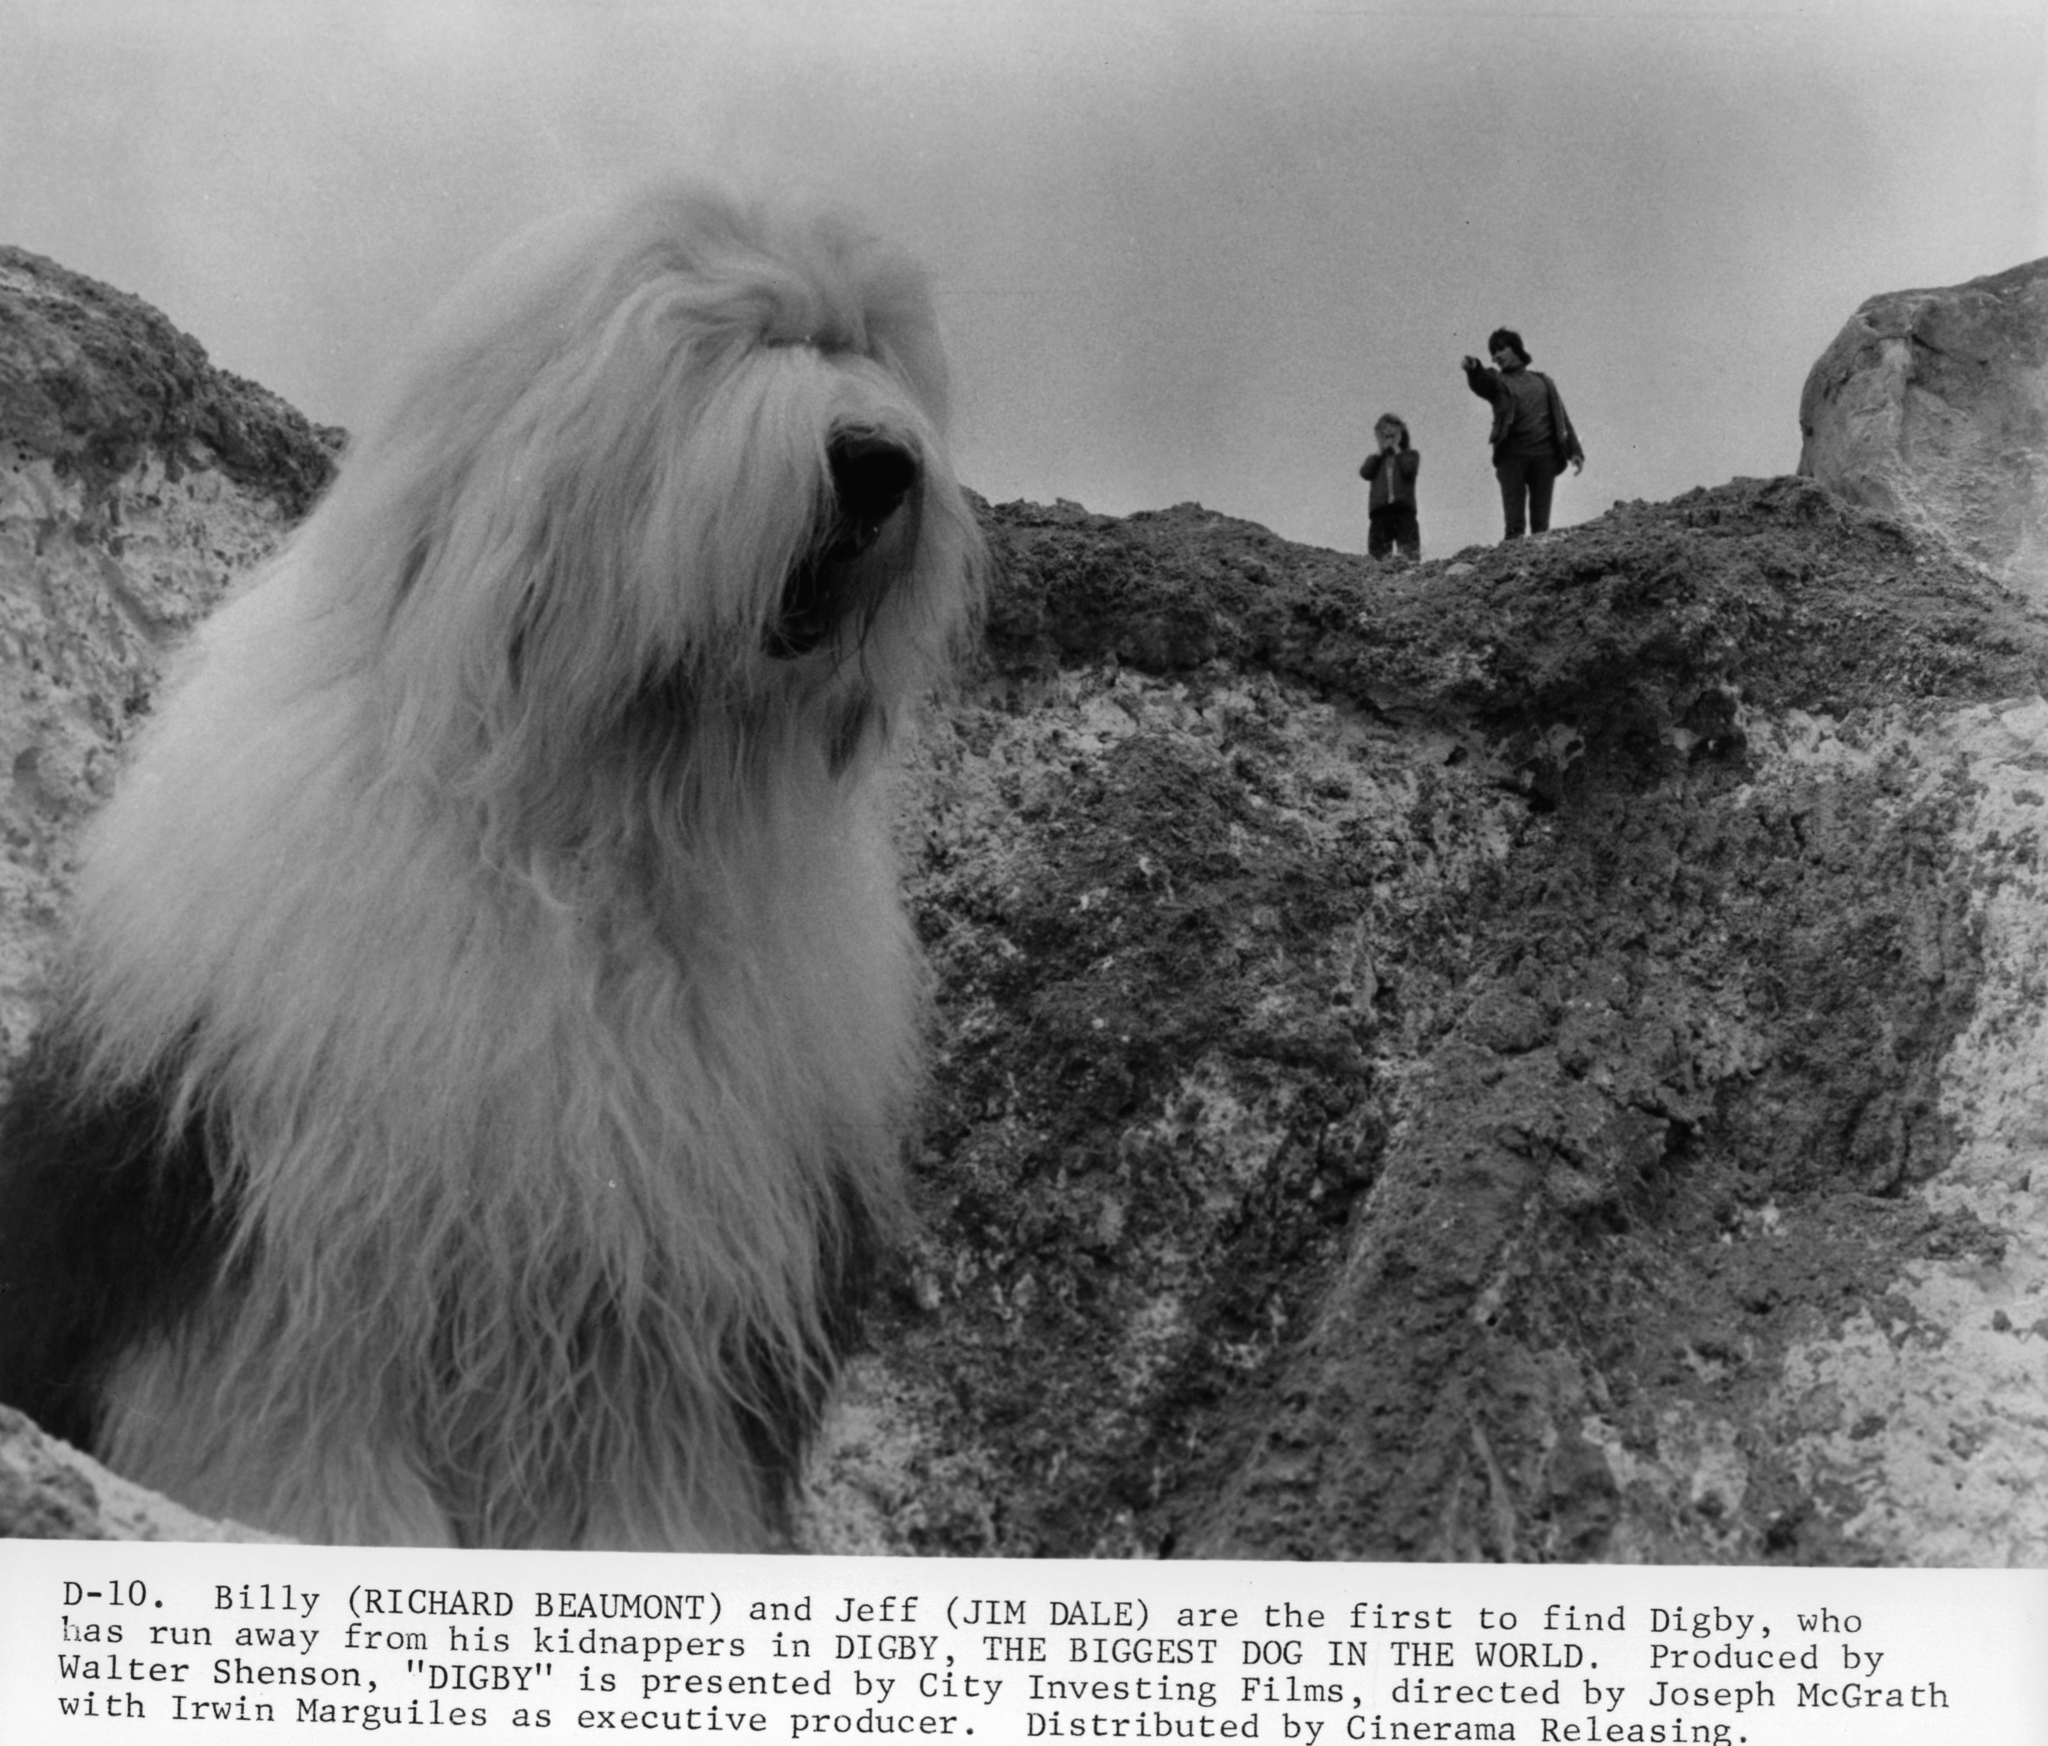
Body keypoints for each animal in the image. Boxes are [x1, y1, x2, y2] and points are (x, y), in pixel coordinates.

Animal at [0, 180, 983, 1539]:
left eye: (867, 356)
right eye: (734, 346)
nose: (881, 463)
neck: (593, 827)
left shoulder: (671, 1310)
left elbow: (648, 1492)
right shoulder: (299, 1257)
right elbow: (304, 1459)